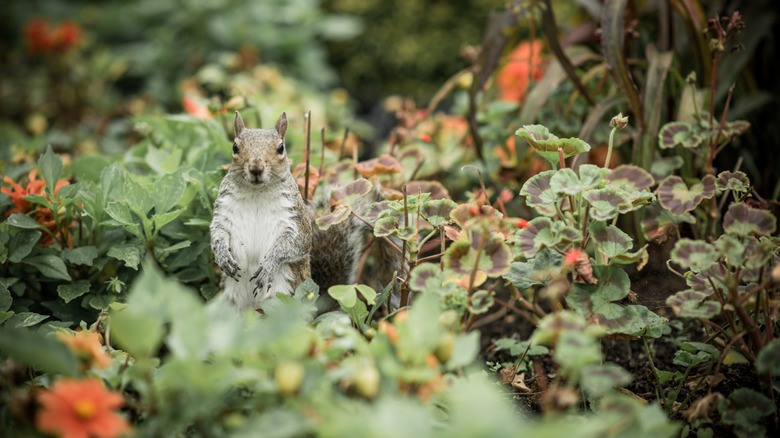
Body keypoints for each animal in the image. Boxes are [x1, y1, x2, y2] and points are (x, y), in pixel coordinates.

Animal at [210, 111, 402, 311]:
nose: (256, 168)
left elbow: (297, 243)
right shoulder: (223, 211)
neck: (256, 193)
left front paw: (270, 264)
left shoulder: (295, 218)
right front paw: (222, 255)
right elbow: (217, 233)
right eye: (235, 146)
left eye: (280, 148)